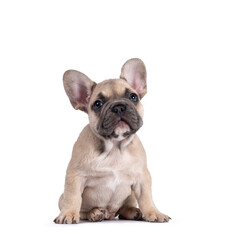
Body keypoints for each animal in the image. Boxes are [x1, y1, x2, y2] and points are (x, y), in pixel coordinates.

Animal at [54, 59, 171, 224]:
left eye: (133, 97)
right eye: (98, 104)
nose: (119, 107)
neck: (115, 146)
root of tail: (109, 214)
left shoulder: (142, 177)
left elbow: (146, 197)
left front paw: (153, 212)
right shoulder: (74, 176)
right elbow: (73, 197)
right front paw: (68, 214)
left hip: (130, 195)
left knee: (124, 209)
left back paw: (134, 212)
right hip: (62, 198)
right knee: (82, 209)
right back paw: (94, 213)